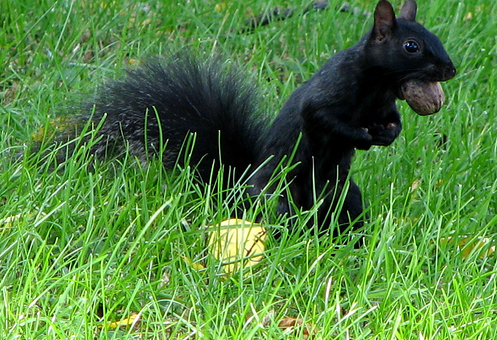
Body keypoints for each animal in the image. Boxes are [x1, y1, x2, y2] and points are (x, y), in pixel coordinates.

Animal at [68, 0, 456, 236]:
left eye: (436, 37)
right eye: (411, 47)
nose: (450, 70)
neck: (378, 85)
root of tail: (236, 190)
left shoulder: (385, 105)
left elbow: (394, 121)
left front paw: (387, 135)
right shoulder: (330, 91)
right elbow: (323, 118)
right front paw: (362, 136)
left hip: (342, 193)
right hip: (276, 196)